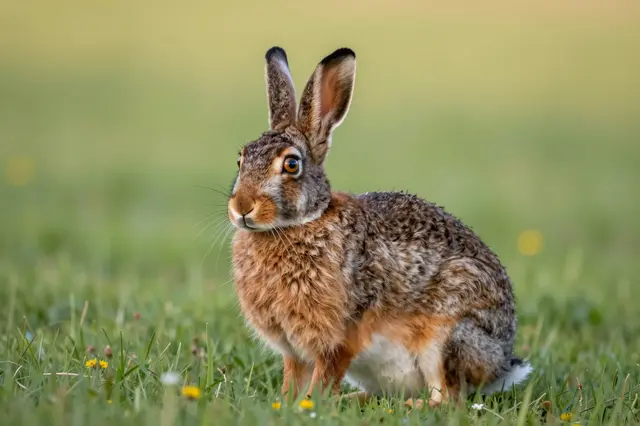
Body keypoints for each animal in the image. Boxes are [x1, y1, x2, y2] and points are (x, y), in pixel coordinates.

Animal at [228, 46, 532, 407]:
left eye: (291, 164)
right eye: (240, 159)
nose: (241, 208)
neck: (302, 222)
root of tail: (500, 365)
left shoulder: (340, 336)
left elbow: (325, 376)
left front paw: (309, 406)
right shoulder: (294, 350)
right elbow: (293, 377)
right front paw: (286, 403)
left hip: (447, 338)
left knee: (448, 400)